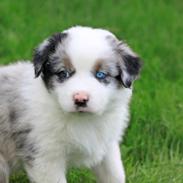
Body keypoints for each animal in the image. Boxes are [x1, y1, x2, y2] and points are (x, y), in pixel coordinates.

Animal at [0, 26, 142, 183]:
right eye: (63, 73)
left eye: (101, 74)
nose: (80, 99)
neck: (84, 121)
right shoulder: (45, 156)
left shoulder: (107, 146)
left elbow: (115, 175)